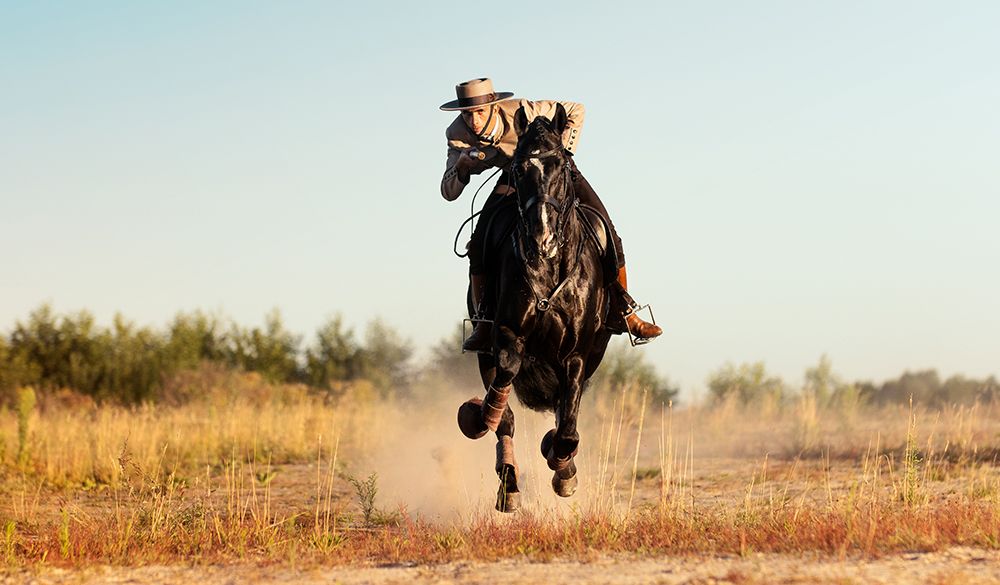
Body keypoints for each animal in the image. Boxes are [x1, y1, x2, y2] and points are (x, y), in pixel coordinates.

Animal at [457, 103, 614, 512]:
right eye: (518, 170)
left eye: (562, 166)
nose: (541, 238)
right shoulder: (506, 335)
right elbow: (505, 382)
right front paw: (476, 416)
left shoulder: (577, 355)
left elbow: (568, 424)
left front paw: (564, 470)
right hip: (485, 350)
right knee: (506, 419)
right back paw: (509, 485)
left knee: (563, 412)